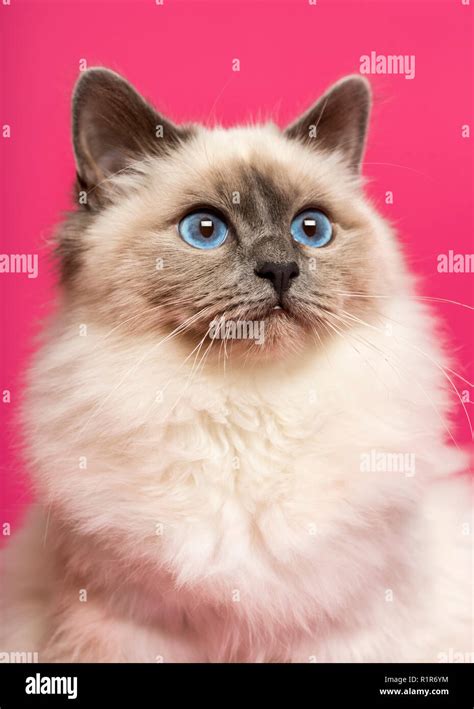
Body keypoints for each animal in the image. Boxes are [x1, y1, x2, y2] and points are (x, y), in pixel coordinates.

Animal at [1, 68, 472, 664]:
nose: (281, 269)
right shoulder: (129, 626)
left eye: (311, 229)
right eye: (205, 230)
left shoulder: (344, 631)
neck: (249, 404)